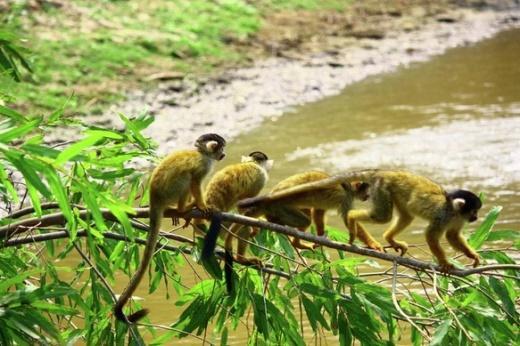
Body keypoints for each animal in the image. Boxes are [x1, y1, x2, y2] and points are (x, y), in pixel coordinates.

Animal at [115, 133, 224, 324]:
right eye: (222, 148)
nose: (223, 155)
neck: (204, 154)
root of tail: (154, 198)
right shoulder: (203, 165)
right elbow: (195, 181)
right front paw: (202, 205)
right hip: (170, 191)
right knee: (187, 177)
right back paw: (183, 209)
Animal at [199, 153, 272, 290]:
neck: (251, 163)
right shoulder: (260, 177)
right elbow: (242, 204)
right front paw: (256, 221)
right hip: (224, 227)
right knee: (244, 227)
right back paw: (241, 259)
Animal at [238, 171, 380, 250]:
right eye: (366, 189)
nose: (368, 195)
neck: (348, 187)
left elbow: (318, 212)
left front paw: (321, 236)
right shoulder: (345, 197)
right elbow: (348, 218)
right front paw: (373, 244)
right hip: (280, 207)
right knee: (305, 220)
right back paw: (292, 238)